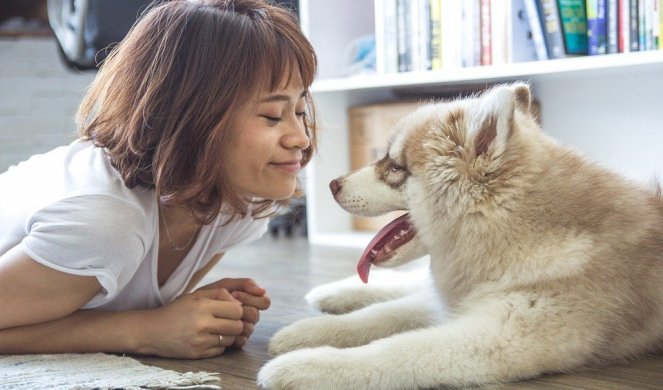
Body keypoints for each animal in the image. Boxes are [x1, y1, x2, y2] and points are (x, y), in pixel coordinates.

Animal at [256, 84, 663, 388]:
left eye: (395, 167)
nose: (331, 185)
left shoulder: (495, 335)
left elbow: (397, 350)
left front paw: (303, 367)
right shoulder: (461, 301)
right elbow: (377, 316)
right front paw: (308, 331)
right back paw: (333, 293)